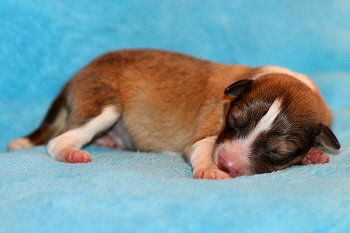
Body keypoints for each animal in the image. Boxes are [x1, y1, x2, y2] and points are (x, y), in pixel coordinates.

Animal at [8, 49, 340, 180]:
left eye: (277, 152)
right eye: (233, 122)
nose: (226, 164)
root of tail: (75, 76)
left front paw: (314, 155)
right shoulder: (207, 129)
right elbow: (202, 146)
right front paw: (209, 169)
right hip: (103, 103)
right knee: (58, 141)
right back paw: (72, 153)